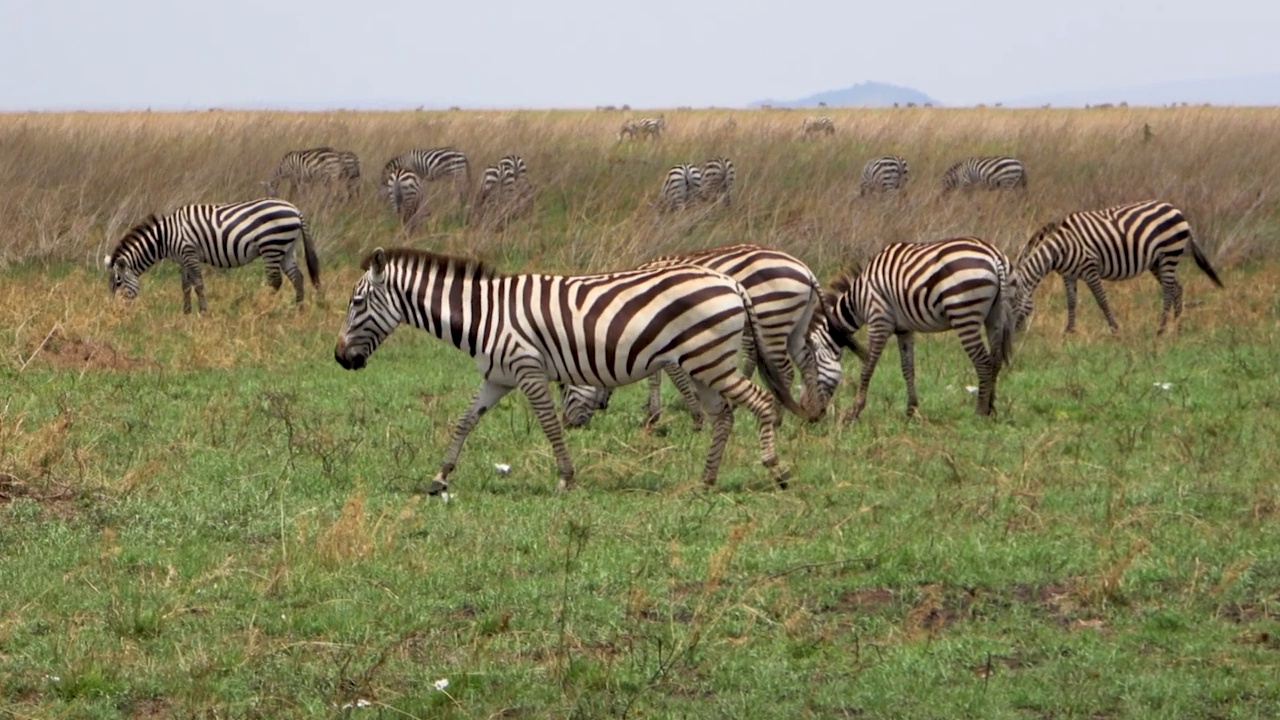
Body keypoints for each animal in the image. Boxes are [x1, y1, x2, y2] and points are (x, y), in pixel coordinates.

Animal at [104, 197, 320, 312]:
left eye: (118, 283)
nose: (115, 311)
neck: (165, 237)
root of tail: (295, 209)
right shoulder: (182, 259)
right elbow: (185, 286)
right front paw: (186, 313)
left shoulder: (189, 253)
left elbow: (198, 285)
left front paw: (203, 312)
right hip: (286, 249)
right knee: (298, 277)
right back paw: (299, 310)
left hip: (272, 245)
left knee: (275, 281)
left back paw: (261, 308)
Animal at [332, 245, 808, 491]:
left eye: (356, 302)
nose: (339, 358)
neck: (484, 315)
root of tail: (731, 282)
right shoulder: (497, 376)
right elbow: (466, 420)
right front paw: (440, 477)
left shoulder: (527, 369)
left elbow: (548, 424)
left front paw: (565, 477)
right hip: (703, 362)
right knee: (723, 415)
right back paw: (706, 480)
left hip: (711, 359)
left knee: (761, 403)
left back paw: (777, 470)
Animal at [560, 243, 839, 427]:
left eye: (564, 386)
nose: (570, 425)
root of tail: (805, 269)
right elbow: (654, 378)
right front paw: (653, 415)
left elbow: (673, 377)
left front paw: (695, 416)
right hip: (795, 325)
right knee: (806, 361)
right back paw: (814, 413)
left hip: (772, 319)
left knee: (784, 371)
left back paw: (780, 418)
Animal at [824, 235, 1013, 417]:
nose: (819, 415)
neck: (860, 297)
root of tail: (994, 256)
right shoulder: (904, 329)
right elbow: (908, 368)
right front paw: (911, 410)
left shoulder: (879, 320)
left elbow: (868, 366)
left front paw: (854, 411)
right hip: (994, 316)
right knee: (996, 360)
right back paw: (991, 408)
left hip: (964, 314)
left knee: (983, 362)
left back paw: (980, 412)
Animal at [1013, 198, 1223, 333]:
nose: (1016, 335)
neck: (1059, 248)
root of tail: (1177, 210)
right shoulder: (1068, 275)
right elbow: (1071, 302)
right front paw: (1069, 331)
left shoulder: (1090, 269)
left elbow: (1101, 300)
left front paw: (1114, 329)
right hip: (1157, 262)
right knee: (1176, 288)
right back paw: (1177, 326)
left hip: (1169, 255)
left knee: (1168, 291)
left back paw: (1161, 329)